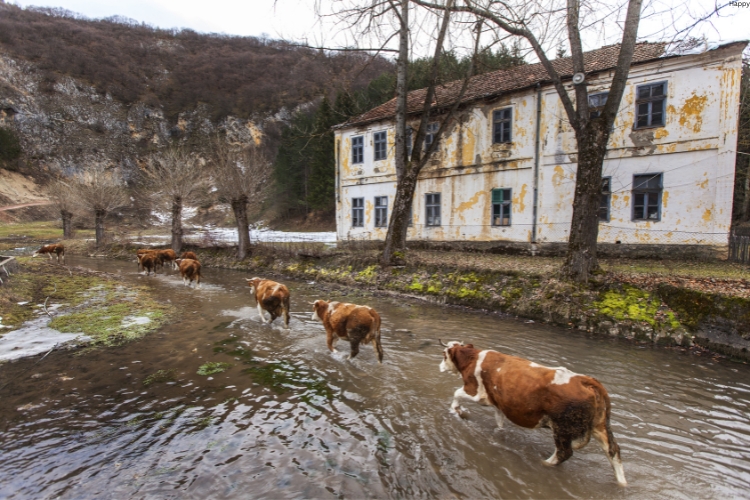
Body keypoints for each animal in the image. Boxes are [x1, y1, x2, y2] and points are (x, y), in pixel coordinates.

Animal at [440, 340, 628, 484]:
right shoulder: (500, 403)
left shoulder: (476, 392)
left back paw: (545, 464)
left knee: (564, 453)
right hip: (599, 425)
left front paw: (456, 410)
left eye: (444, 355)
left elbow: (456, 394)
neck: (473, 358)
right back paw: (622, 483)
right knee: (613, 450)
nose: (439, 366)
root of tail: (585, 380)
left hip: (562, 428)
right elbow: (499, 420)